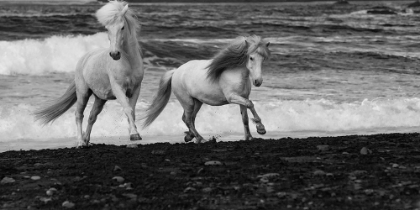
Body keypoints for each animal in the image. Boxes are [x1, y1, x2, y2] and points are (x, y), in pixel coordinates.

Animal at [33, 0, 144, 147]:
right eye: (107, 28)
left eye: (122, 27)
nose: (114, 54)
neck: (129, 62)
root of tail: (84, 58)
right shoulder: (119, 89)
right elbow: (127, 109)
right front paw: (134, 134)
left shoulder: (136, 89)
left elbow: (132, 111)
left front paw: (134, 133)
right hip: (83, 93)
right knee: (79, 115)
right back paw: (80, 141)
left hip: (100, 99)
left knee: (92, 116)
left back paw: (86, 140)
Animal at [141, 35, 270, 143]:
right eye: (251, 58)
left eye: (263, 59)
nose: (258, 81)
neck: (235, 74)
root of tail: (175, 72)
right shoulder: (232, 97)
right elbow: (250, 104)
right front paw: (261, 128)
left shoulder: (242, 98)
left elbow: (245, 118)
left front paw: (249, 137)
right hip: (187, 102)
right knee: (187, 119)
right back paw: (200, 138)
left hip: (197, 102)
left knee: (190, 118)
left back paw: (190, 136)